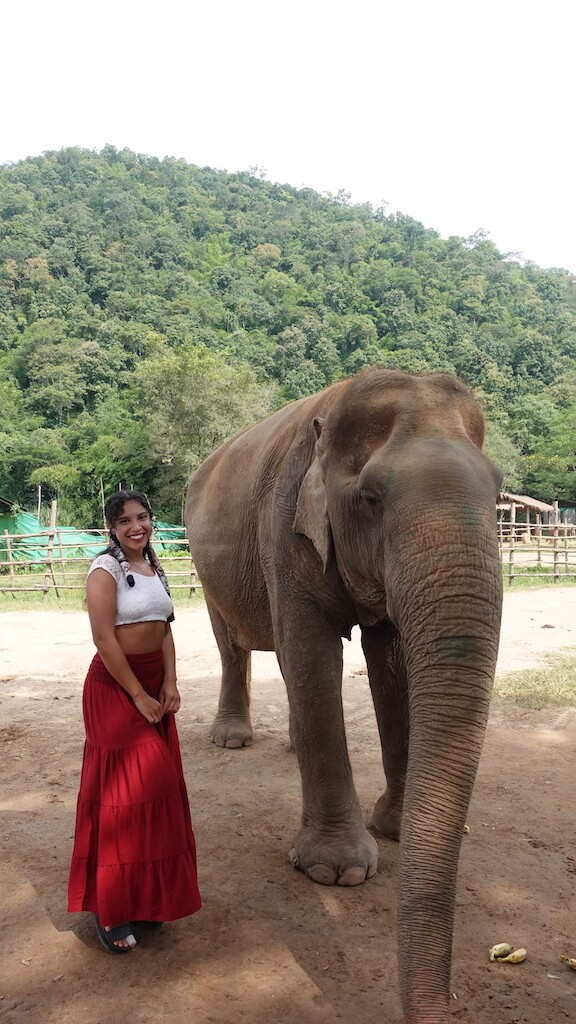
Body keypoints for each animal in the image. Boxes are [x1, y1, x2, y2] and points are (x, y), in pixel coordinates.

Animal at [186, 372, 500, 1024]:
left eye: (499, 489)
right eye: (371, 498)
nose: (446, 1006)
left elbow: (390, 660)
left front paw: (396, 830)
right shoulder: (283, 526)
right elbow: (311, 650)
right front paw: (337, 872)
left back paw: (286, 745)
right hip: (205, 565)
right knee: (231, 642)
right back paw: (232, 740)